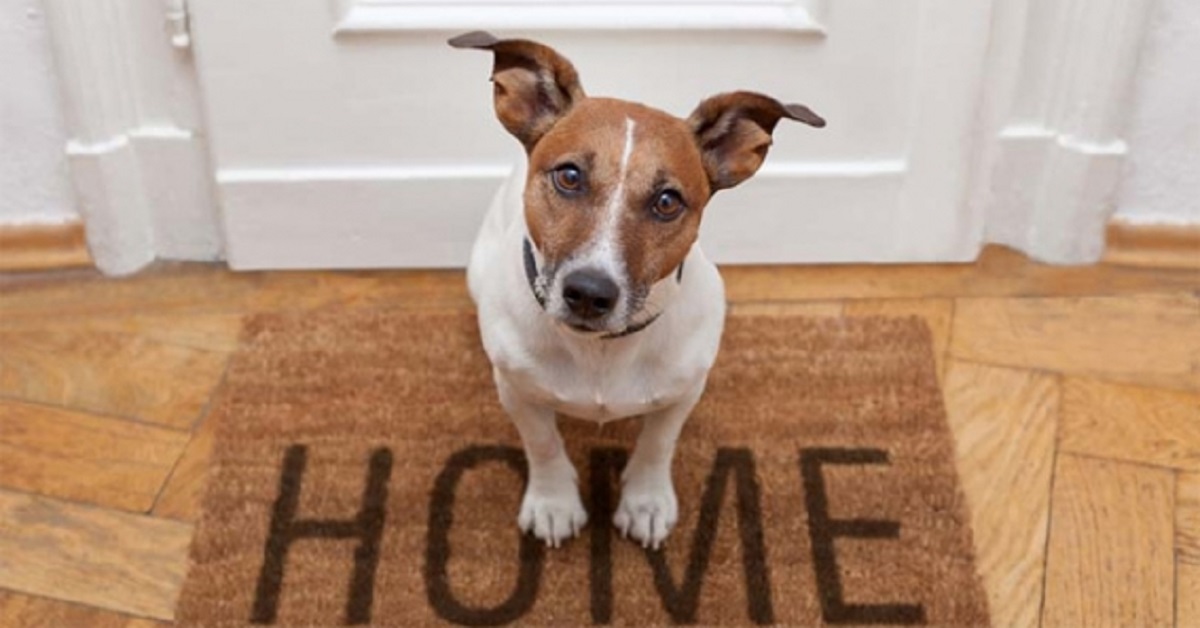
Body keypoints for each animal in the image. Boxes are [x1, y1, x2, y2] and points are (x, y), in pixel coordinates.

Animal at [451, 31, 825, 547]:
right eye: (569, 176)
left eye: (667, 201)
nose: (589, 293)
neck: (602, 350)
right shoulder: (518, 391)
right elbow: (543, 443)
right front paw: (553, 502)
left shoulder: (684, 392)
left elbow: (657, 444)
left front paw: (645, 502)